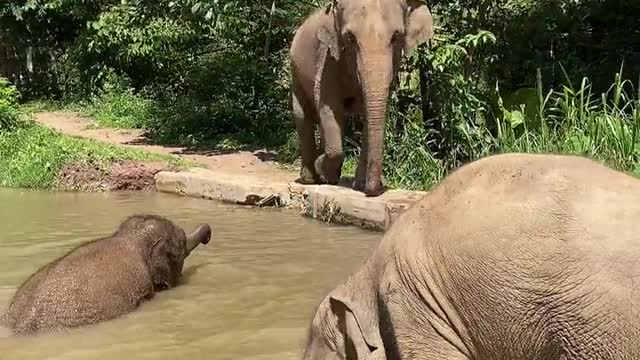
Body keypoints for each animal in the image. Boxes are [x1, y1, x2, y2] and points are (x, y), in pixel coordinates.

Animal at [290, 0, 436, 197]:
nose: (371, 191)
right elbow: (329, 108)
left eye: (396, 36)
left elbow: (370, 115)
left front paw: (358, 185)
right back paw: (311, 178)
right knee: (303, 116)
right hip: (295, 72)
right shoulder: (328, 59)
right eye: (350, 38)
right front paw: (322, 169)